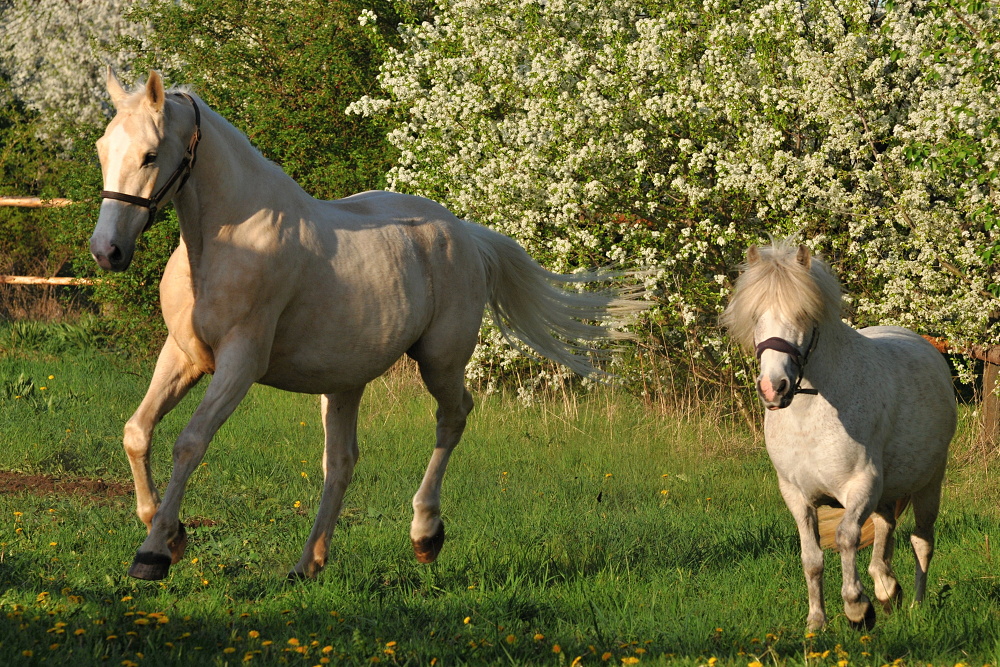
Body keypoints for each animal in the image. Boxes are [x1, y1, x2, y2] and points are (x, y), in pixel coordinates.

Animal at [92, 70, 648, 580]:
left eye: (149, 155)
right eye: (102, 149)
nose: (107, 251)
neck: (225, 244)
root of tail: (465, 233)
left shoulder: (240, 363)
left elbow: (189, 443)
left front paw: (154, 552)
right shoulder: (184, 354)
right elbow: (137, 431)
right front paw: (168, 532)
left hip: (440, 361)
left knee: (453, 417)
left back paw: (425, 535)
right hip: (345, 381)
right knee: (341, 463)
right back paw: (308, 564)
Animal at [724, 241, 956, 632]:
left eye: (804, 315)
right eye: (755, 316)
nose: (773, 388)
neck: (809, 418)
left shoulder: (860, 486)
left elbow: (847, 540)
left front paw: (857, 609)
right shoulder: (796, 495)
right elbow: (812, 558)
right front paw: (816, 622)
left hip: (928, 483)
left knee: (921, 541)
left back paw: (916, 606)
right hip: (887, 491)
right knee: (886, 527)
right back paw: (886, 588)